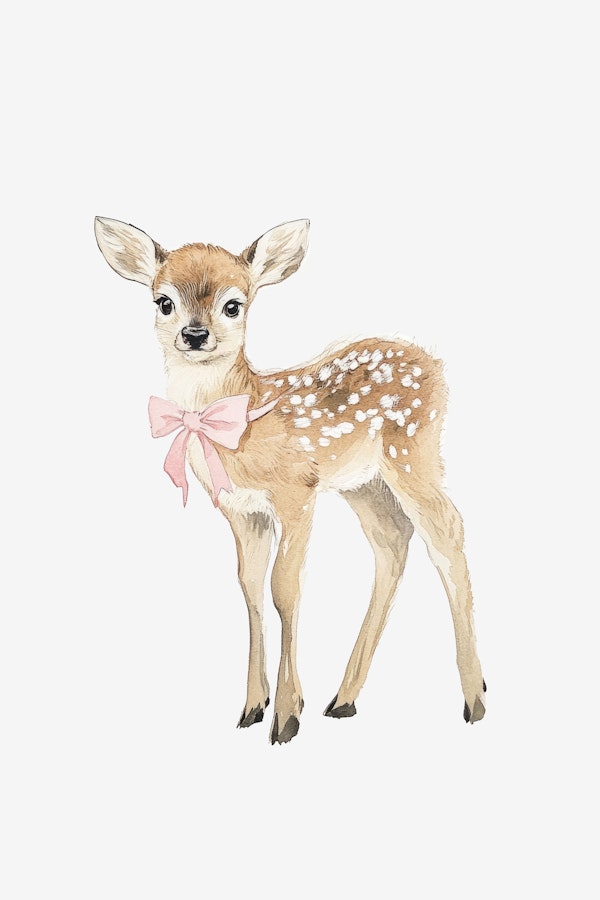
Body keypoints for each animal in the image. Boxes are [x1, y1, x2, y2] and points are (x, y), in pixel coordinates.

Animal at [94, 216, 486, 745]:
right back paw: (343, 699)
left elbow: (285, 588)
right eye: (164, 301)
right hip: (363, 483)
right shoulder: (242, 510)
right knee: (391, 541)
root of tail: (435, 365)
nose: (195, 334)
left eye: (233, 304)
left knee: (446, 532)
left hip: (412, 451)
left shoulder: (296, 491)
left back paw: (474, 698)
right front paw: (252, 707)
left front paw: (285, 716)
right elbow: (250, 587)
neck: (243, 418)